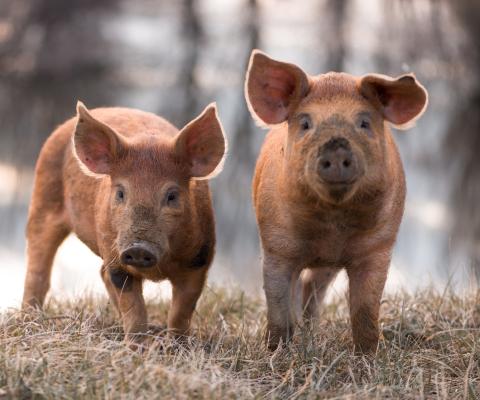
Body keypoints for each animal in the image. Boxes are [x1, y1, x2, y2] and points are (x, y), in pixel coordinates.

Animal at [23, 101, 230, 340]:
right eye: (121, 193)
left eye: (171, 196)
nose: (139, 247)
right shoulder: (118, 263)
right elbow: (134, 310)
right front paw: (136, 345)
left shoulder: (199, 261)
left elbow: (181, 312)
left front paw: (176, 344)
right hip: (42, 201)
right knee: (38, 269)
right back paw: (27, 320)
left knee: (99, 272)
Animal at [246, 50, 430, 354]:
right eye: (305, 123)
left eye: (364, 123)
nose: (336, 145)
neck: (332, 227)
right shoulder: (276, 245)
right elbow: (278, 306)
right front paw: (275, 352)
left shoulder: (378, 247)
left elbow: (364, 308)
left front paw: (369, 355)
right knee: (301, 289)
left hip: (329, 268)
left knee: (312, 289)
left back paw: (311, 330)